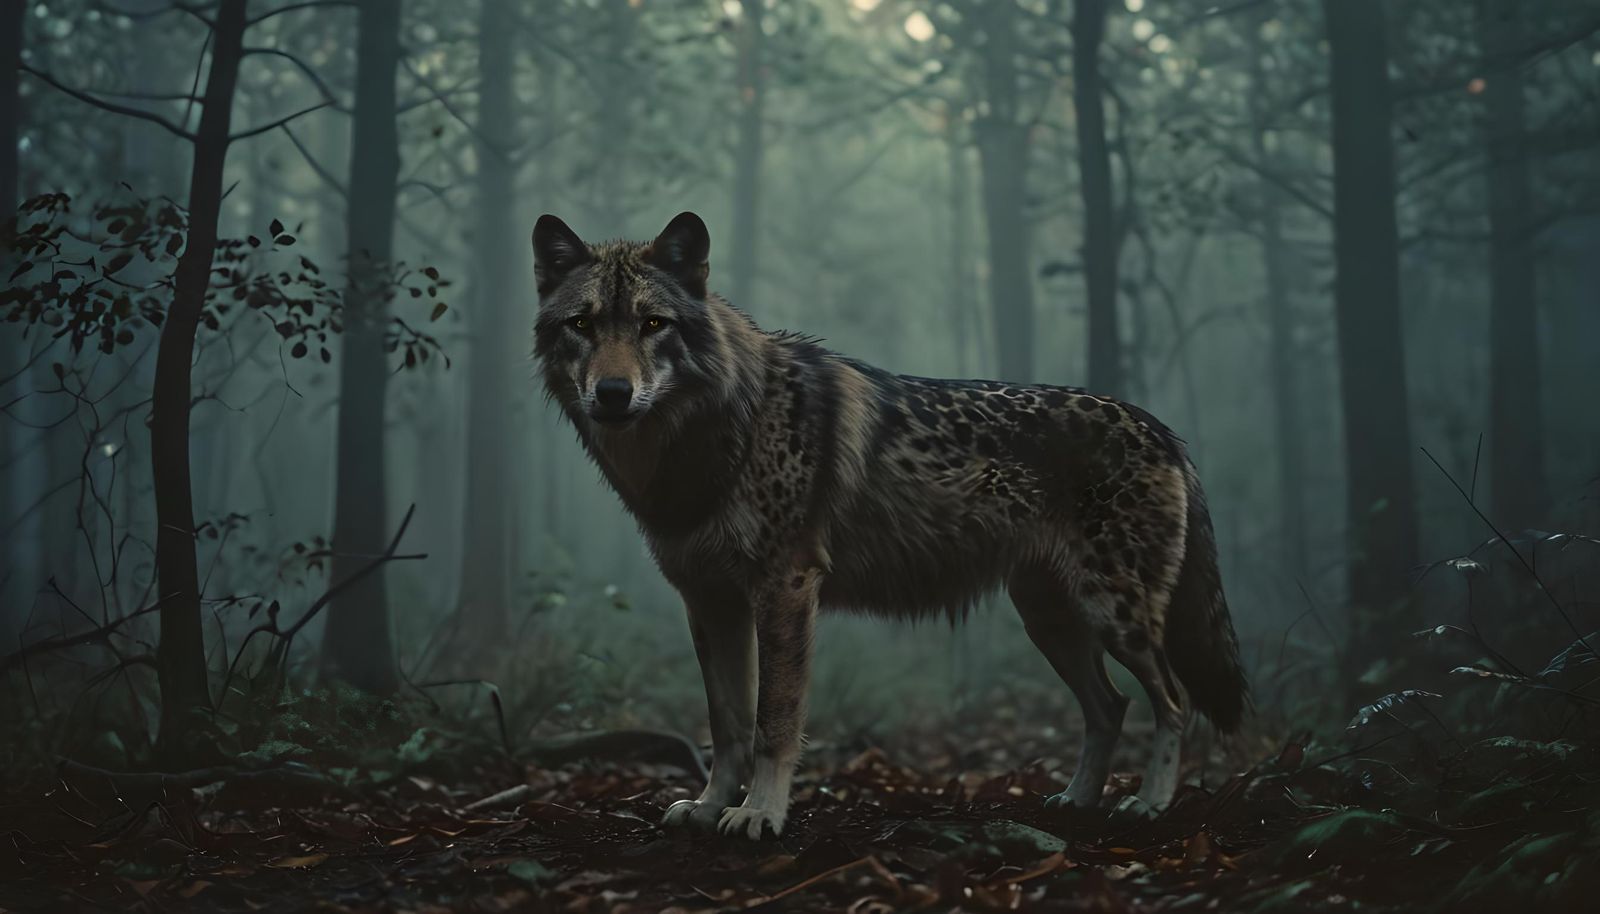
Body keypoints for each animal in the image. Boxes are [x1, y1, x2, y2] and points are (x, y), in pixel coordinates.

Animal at [530, 212, 1248, 839]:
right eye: (583, 324)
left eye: (653, 324)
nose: (612, 394)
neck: (716, 433)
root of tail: (1161, 429)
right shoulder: (710, 603)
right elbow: (726, 723)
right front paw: (709, 807)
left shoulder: (784, 589)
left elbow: (772, 722)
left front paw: (760, 814)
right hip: (1051, 622)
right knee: (1112, 707)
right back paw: (1076, 799)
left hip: (1115, 616)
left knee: (1174, 702)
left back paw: (1148, 804)